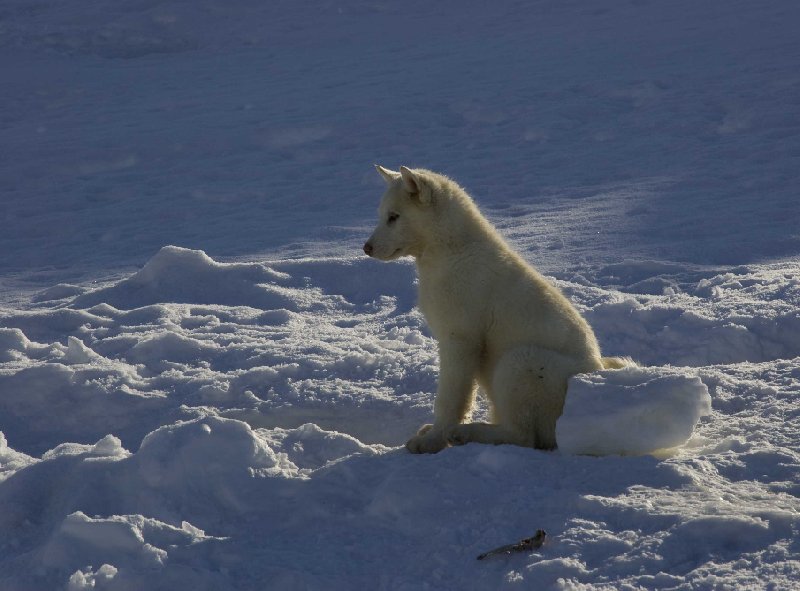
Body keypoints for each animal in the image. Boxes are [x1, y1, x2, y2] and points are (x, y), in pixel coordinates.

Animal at [364, 166, 632, 454]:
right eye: (382, 215)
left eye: (394, 217)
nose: (366, 248)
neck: (452, 252)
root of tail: (597, 371)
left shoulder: (461, 339)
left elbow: (450, 398)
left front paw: (433, 440)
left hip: (520, 362)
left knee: (524, 437)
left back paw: (465, 433)